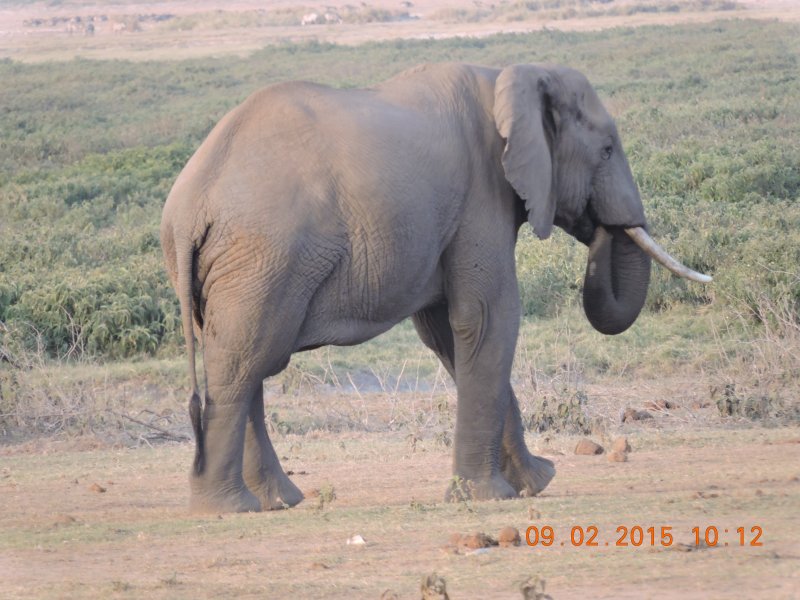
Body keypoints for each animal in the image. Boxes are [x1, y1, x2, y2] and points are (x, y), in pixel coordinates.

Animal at [161, 62, 710, 513]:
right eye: (607, 149)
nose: (599, 227)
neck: (509, 77)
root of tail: (190, 205)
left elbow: (448, 331)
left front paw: (536, 483)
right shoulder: (481, 194)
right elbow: (489, 316)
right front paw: (494, 495)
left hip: (236, 269)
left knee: (243, 360)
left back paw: (277, 502)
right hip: (265, 257)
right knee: (245, 360)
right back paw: (229, 508)